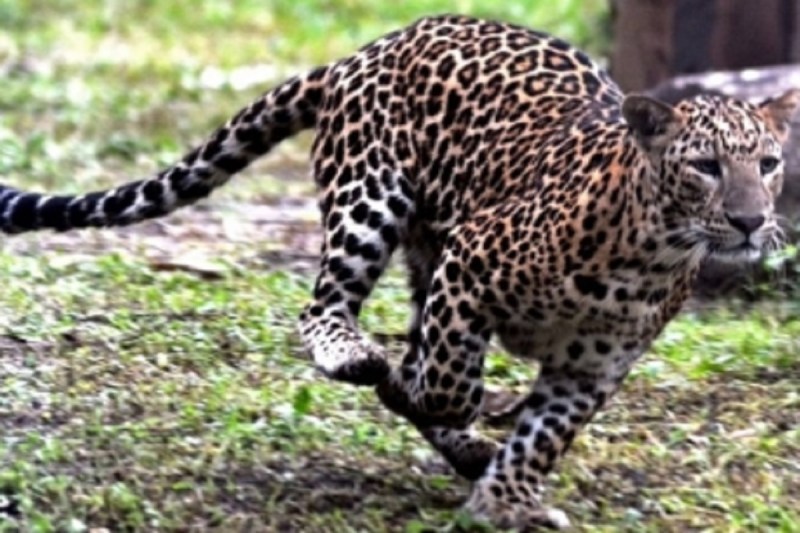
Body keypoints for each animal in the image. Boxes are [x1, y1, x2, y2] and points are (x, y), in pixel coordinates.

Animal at [1, 14, 797, 530]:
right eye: (705, 166)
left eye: (768, 163)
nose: (751, 220)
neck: (649, 254)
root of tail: (362, 53)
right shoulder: (471, 262)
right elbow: (445, 381)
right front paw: (425, 397)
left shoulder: (593, 365)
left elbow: (541, 433)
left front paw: (502, 500)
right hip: (370, 201)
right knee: (325, 308)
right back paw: (360, 360)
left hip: (421, 247)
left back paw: (467, 448)